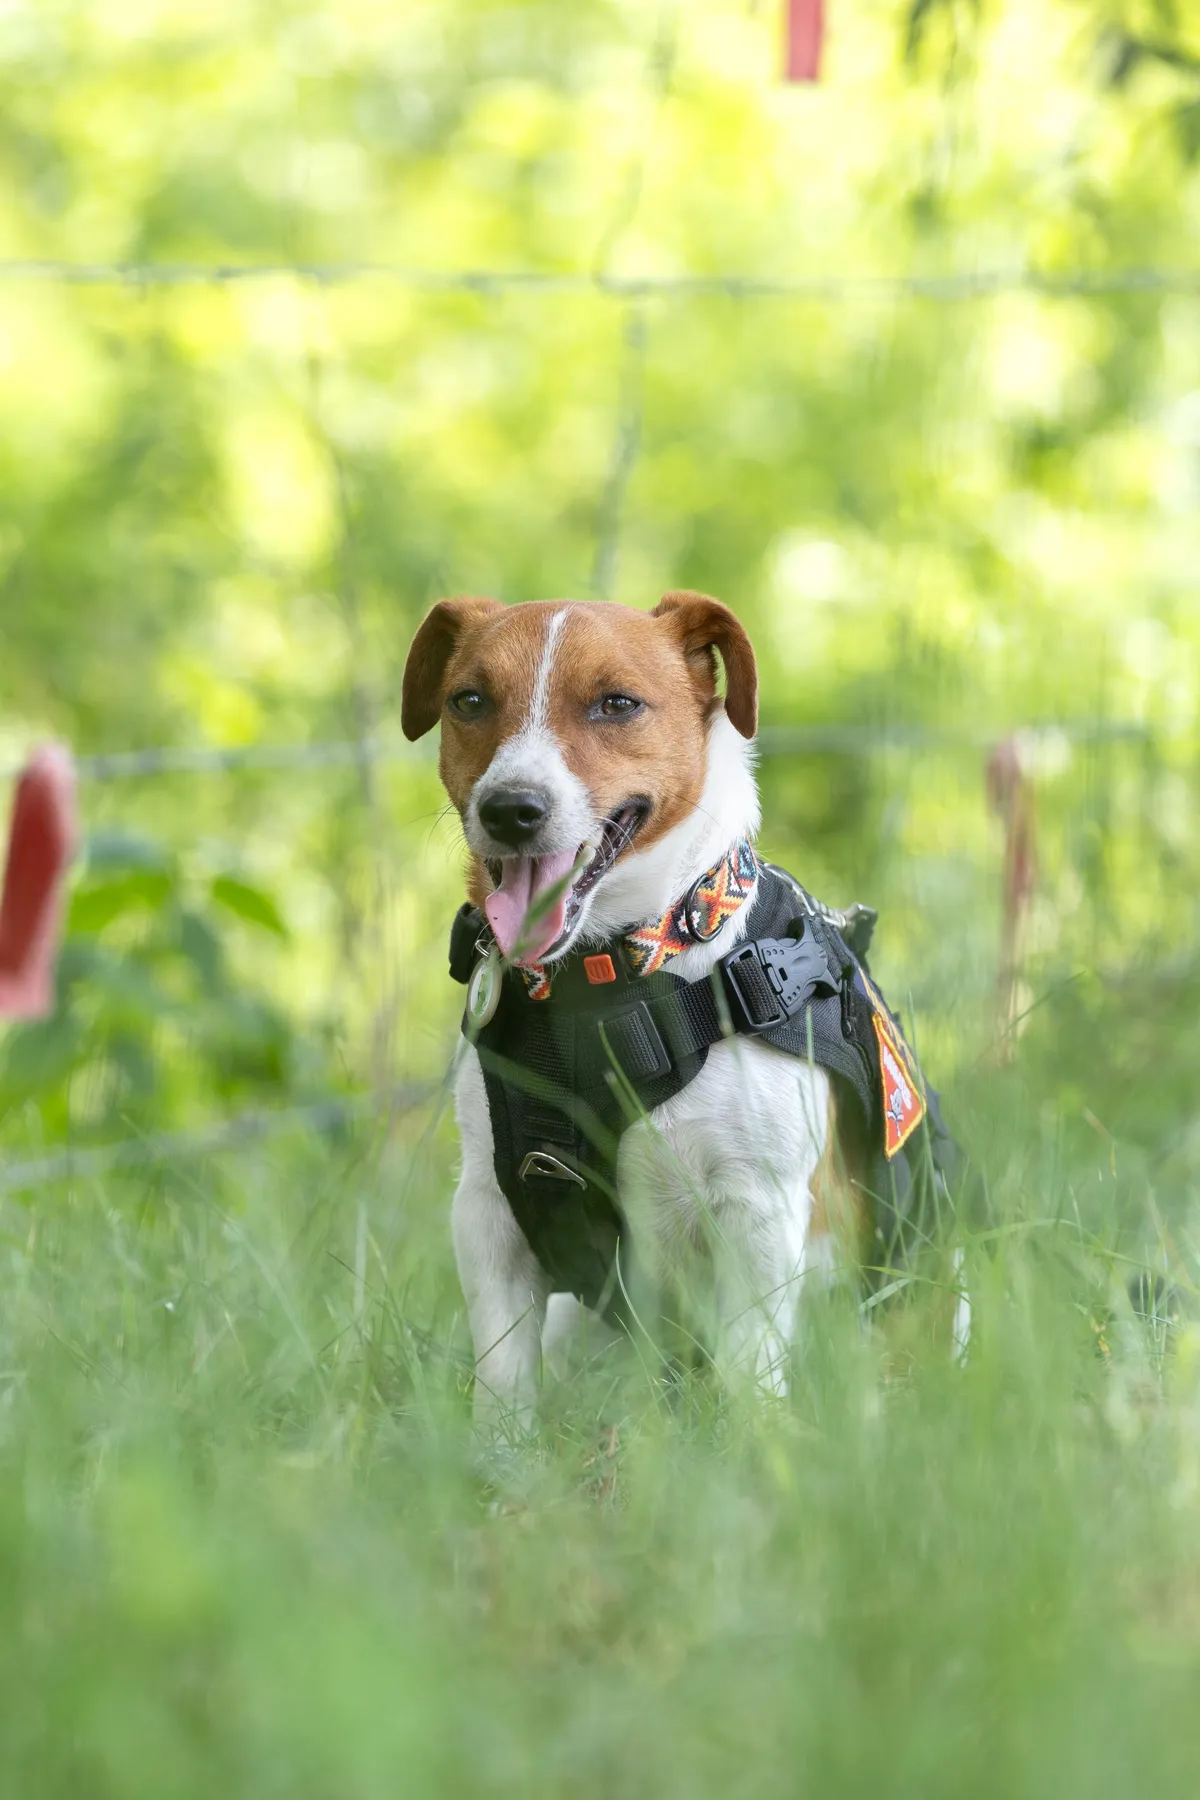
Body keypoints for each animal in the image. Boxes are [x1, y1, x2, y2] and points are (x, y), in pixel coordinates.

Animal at [406, 590, 957, 1432]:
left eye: (617, 703)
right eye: (469, 701)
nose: (510, 809)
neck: (608, 980)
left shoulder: (759, 1213)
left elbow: (750, 1374)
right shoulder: (490, 1213)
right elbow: (502, 1380)